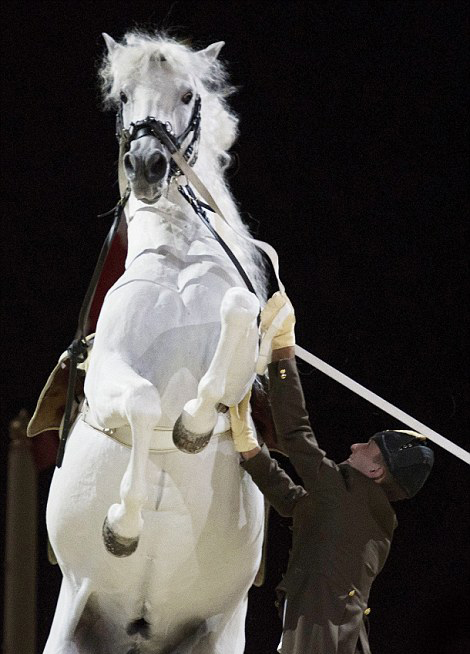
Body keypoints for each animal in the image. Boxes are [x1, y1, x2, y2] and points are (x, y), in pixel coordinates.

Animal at [46, 33, 270, 654]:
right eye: (124, 95)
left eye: (189, 94)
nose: (148, 164)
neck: (176, 255)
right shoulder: (107, 374)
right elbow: (145, 401)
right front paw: (121, 529)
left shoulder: (243, 372)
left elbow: (238, 311)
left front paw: (192, 425)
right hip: (68, 622)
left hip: (223, 632)